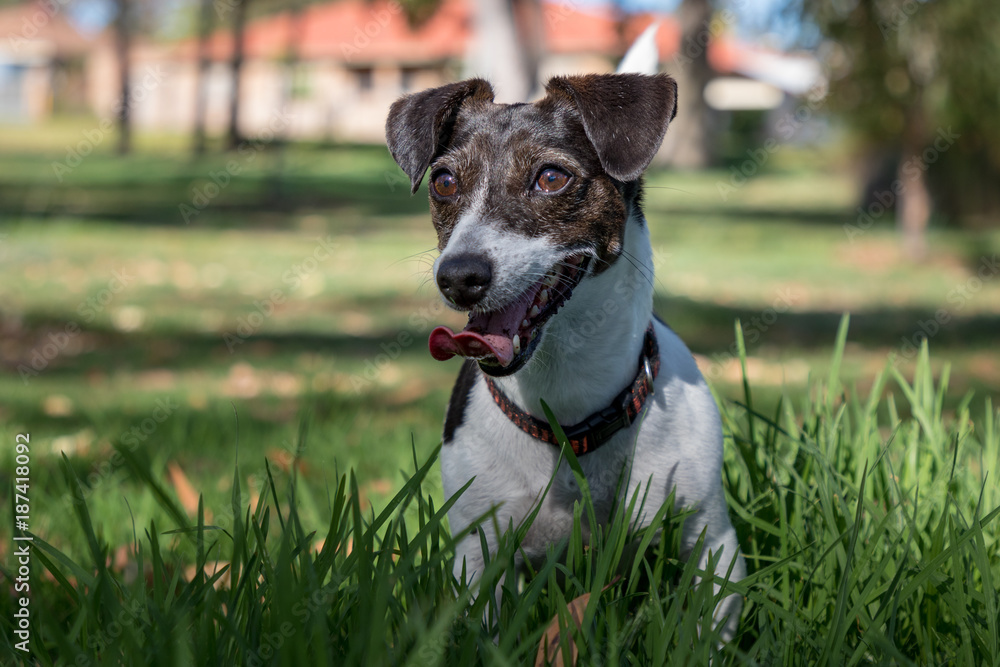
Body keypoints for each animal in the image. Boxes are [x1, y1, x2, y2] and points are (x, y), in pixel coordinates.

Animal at [386, 56, 748, 636]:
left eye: (552, 177)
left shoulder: (713, 542)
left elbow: (706, 627)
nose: (458, 275)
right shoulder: (477, 551)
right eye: (443, 182)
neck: (567, 412)